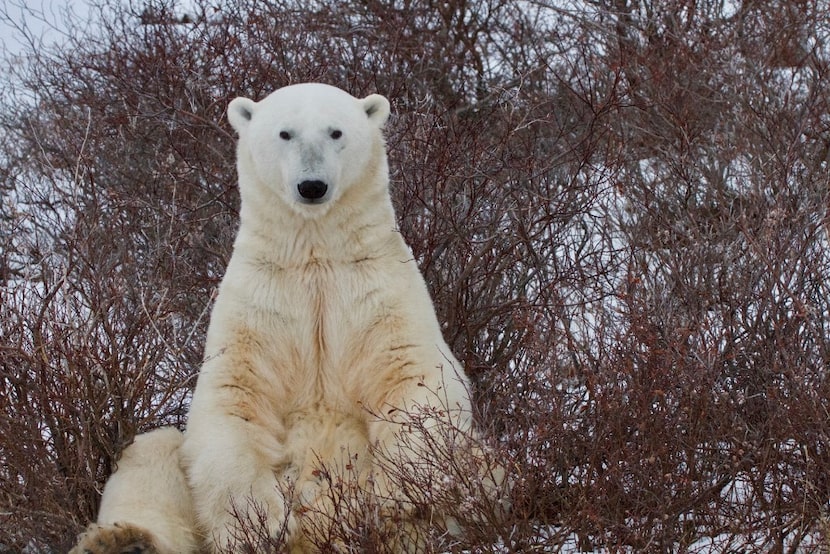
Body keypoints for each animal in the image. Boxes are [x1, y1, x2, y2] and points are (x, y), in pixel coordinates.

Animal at [73, 83, 474, 552]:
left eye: (336, 131)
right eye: (285, 133)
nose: (312, 185)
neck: (316, 255)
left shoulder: (377, 288)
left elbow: (415, 381)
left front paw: (382, 500)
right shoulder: (260, 300)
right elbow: (235, 399)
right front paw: (263, 523)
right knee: (154, 451)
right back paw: (123, 539)